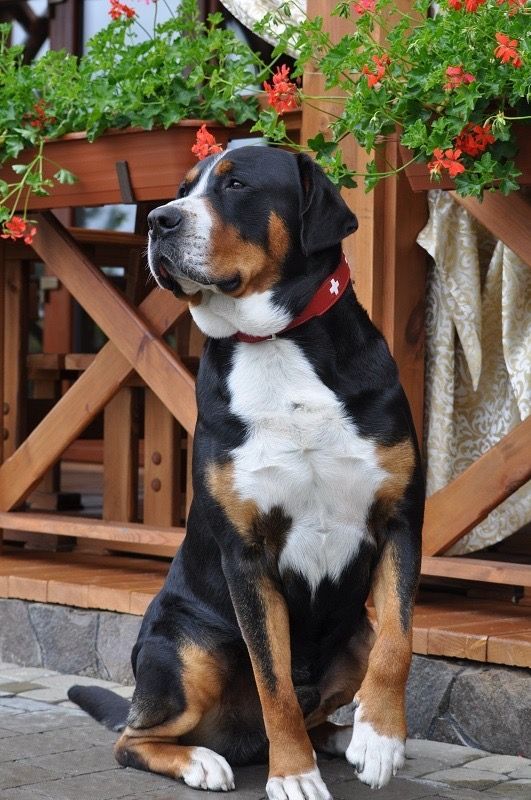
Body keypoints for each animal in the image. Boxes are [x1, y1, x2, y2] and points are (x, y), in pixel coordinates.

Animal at [70, 145, 426, 800]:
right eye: (184, 188)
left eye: (235, 186)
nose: (158, 220)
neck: (276, 346)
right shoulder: (247, 554)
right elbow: (273, 682)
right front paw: (294, 776)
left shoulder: (399, 522)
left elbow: (399, 641)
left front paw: (380, 739)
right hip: (187, 653)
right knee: (132, 739)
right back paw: (203, 760)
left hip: (353, 636)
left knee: (339, 684)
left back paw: (339, 736)